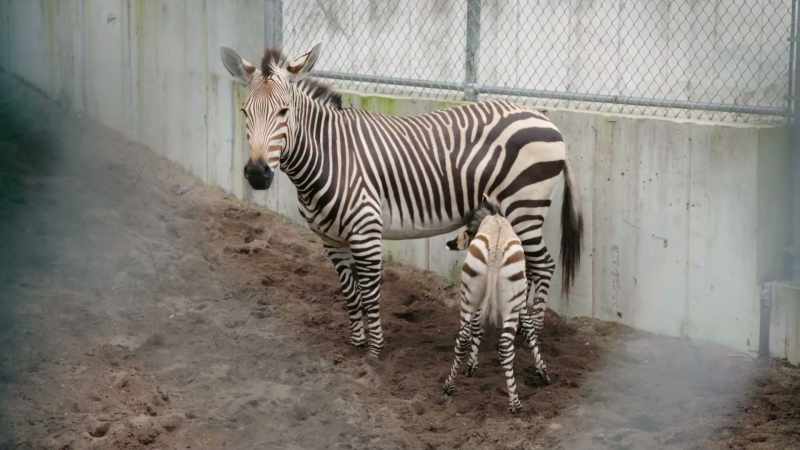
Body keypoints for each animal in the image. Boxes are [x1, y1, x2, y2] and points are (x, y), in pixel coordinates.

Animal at [220, 43, 583, 358]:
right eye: (245, 112)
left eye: (284, 112)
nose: (257, 174)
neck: (329, 157)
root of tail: (545, 119)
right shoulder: (330, 239)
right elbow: (350, 293)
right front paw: (357, 343)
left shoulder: (366, 232)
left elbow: (369, 293)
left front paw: (375, 352)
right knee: (532, 266)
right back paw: (520, 327)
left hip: (524, 207)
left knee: (544, 265)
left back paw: (533, 332)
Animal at [442, 198, 548, 413]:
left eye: (466, 231)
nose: (449, 244)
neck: (494, 219)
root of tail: (496, 249)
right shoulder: (520, 303)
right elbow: (530, 329)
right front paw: (542, 370)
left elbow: (478, 329)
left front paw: (472, 365)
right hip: (500, 304)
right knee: (502, 344)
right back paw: (514, 402)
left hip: (471, 296)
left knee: (463, 339)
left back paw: (450, 386)